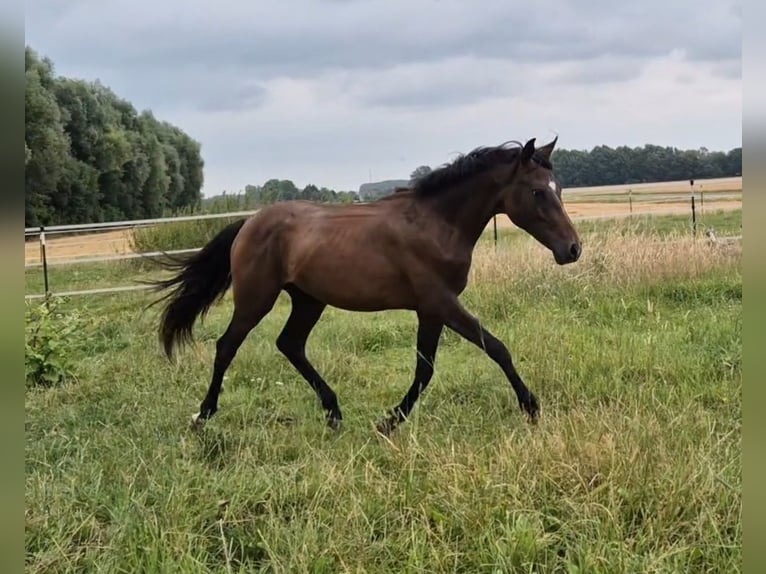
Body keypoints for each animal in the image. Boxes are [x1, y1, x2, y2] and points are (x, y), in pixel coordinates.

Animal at [148, 137, 581, 436]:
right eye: (537, 191)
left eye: (559, 188)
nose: (572, 249)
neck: (437, 224)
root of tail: (250, 222)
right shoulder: (439, 302)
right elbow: (494, 347)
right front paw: (531, 407)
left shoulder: (431, 309)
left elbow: (425, 368)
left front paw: (388, 421)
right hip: (257, 298)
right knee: (227, 346)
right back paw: (203, 415)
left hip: (308, 300)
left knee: (290, 344)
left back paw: (334, 413)